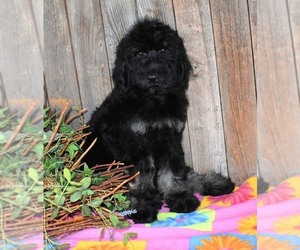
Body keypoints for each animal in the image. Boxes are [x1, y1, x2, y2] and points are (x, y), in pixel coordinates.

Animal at [84, 19, 234, 223]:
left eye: (164, 50)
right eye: (139, 54)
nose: (153, 76)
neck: (153, 99)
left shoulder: (169, 137)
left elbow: (173, 169)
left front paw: (179, 196)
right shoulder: (132, 143)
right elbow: (142, 174)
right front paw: (142, 205)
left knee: (185, 172)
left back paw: (213, 182)